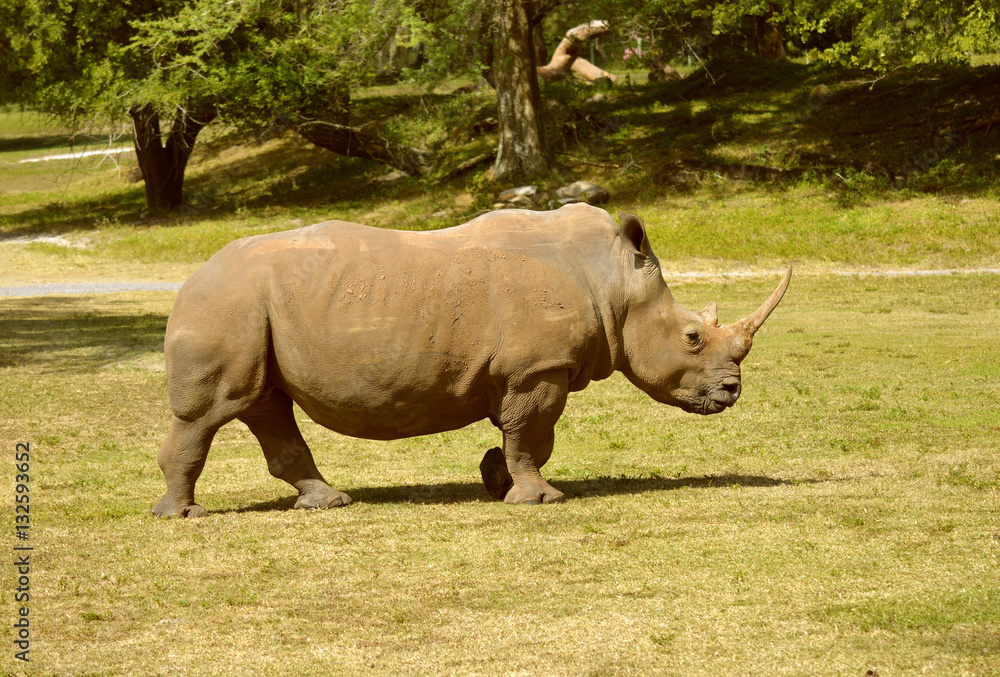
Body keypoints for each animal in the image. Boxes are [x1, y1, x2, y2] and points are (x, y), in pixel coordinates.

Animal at [153, 203, 789, 517]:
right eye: (692, 338)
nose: (732, 391)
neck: (613, 281)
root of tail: (194, 274)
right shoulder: (538, 369)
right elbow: (534, 434)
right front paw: (539, 501)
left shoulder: (522, 372)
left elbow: (522, 436)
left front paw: (495, 479)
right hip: (228, 304)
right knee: (211, 411)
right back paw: (182, 516)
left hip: (249, 308)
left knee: (265, 404)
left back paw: (327, 503)